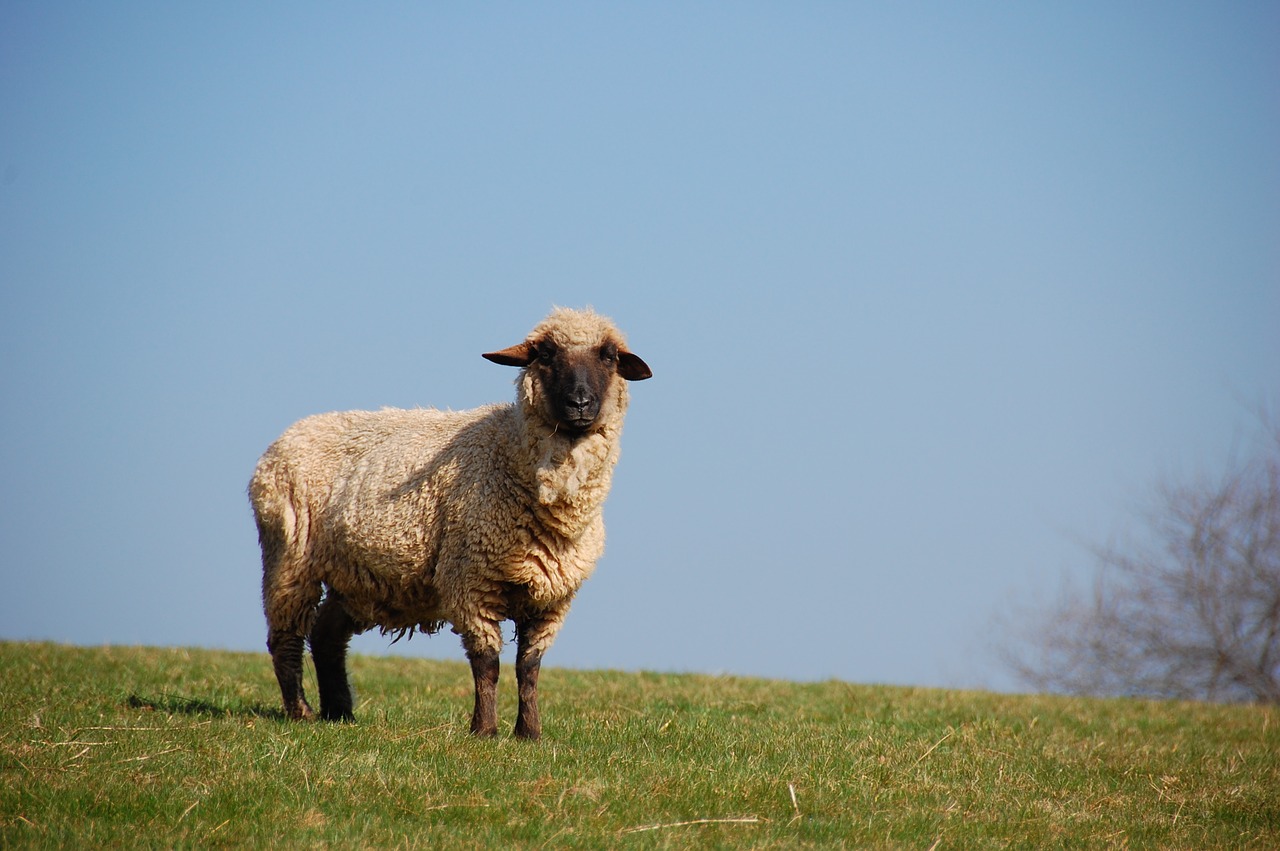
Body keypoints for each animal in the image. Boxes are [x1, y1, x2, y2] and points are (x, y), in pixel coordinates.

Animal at [247, 307, 650, 737]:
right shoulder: (471, 579)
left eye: (609, 356)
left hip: (356, 576)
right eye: (545, 354)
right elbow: (487, 664)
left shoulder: (553, 598)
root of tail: (286, 436)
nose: (580, 402)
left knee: (325, 634)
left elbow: (529, 667)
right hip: (288, 558)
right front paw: (485, 730)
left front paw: (530, 733)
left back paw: (339, 712)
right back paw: (301, 711)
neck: (510, 454)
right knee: (285, 638)